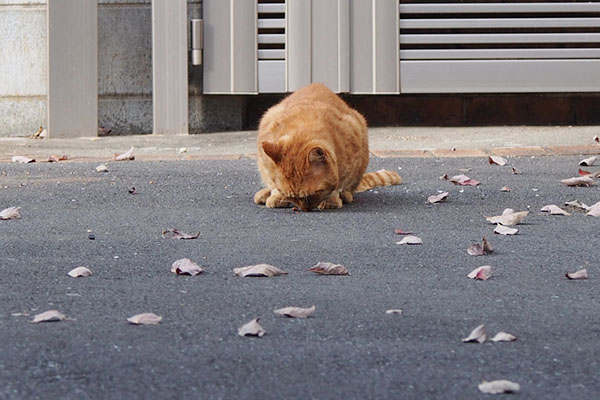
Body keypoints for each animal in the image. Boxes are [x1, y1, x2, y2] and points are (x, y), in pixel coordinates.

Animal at [255, 82, 400, 211]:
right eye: (292, 196)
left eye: (313, 194)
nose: (304, 209)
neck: (303, 127)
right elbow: (273, 182)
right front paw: (277, 196)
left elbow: (338, 184)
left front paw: (331, 199)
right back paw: (264, 193)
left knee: (351, 189)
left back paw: (346, 195)